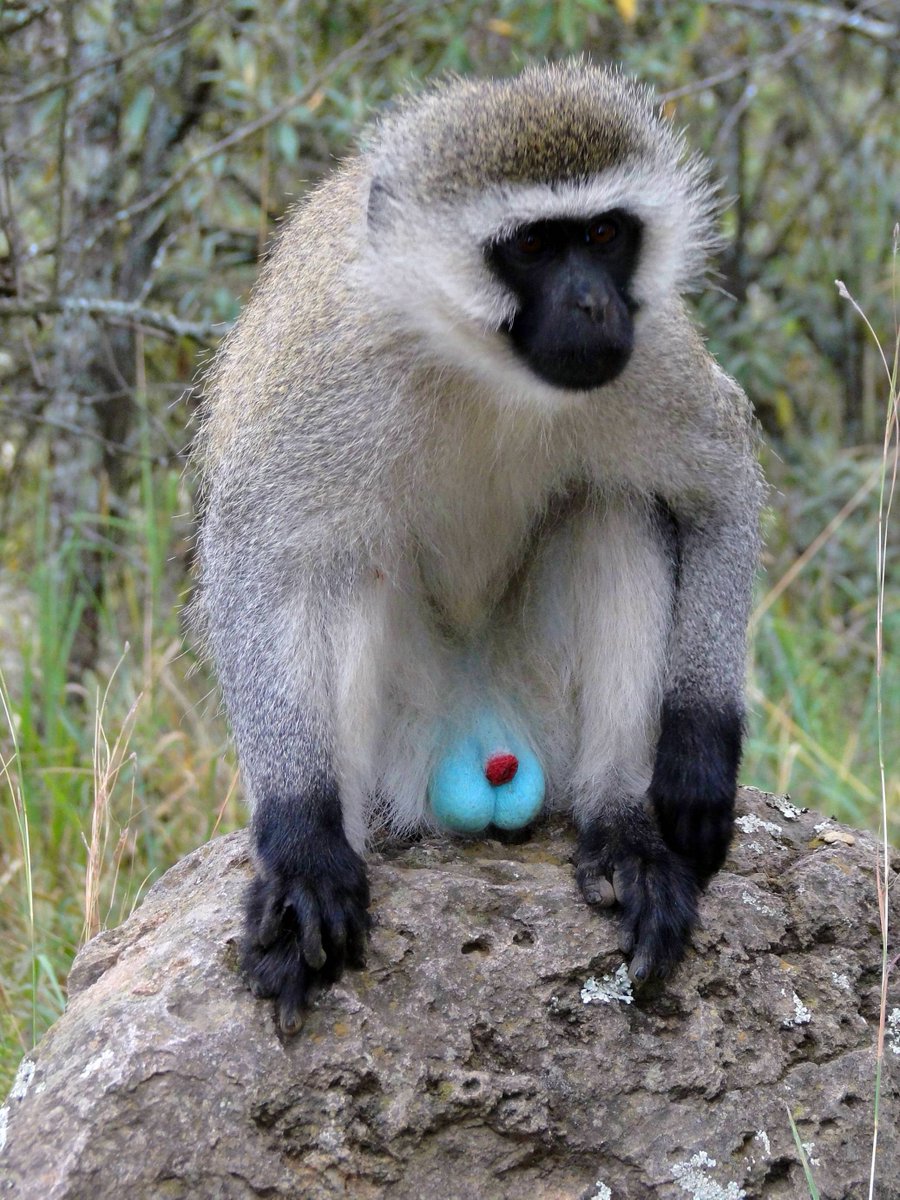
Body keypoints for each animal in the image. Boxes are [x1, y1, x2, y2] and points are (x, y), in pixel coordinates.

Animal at [193, 62, 764, 1033]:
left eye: (604, 234)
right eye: (532, 246)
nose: (592, 303)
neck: (479, 364)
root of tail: (484, 745)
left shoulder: (647, 354)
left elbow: (722, 491)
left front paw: (694, 758)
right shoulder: (332, 382)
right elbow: (258, 563)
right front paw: (302, 849)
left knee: (615, 507)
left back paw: (621, 831)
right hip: (401, 748)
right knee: (341, 564)